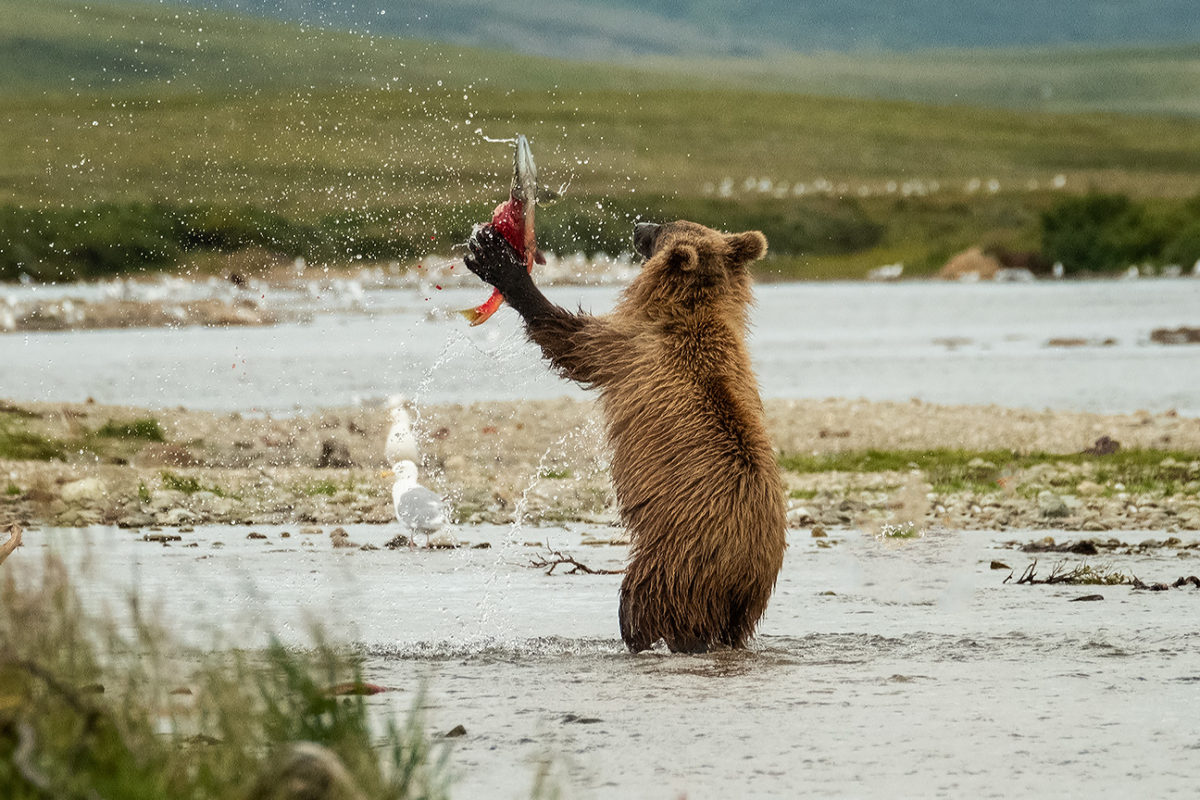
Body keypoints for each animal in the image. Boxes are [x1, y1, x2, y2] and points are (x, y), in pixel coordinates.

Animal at [464, 219, 787, 653]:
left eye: (662, 227)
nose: (639, 225)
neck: (689, 308)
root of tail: (743, 567)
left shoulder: (629, 348)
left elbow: (570, 340)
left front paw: (498, 261)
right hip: (746, 597)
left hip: (676, 561)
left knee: (641, 603)